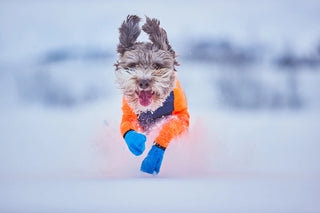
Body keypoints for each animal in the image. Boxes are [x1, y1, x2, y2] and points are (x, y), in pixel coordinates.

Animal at [115, 14, 190, 175]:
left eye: (157, 66)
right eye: (132, 65)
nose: (143, 82)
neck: (151, 109)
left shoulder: (182, 116)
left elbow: (169, 127)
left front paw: (153, 157)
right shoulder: (129, 114)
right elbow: (127, 127)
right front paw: (137, 143)